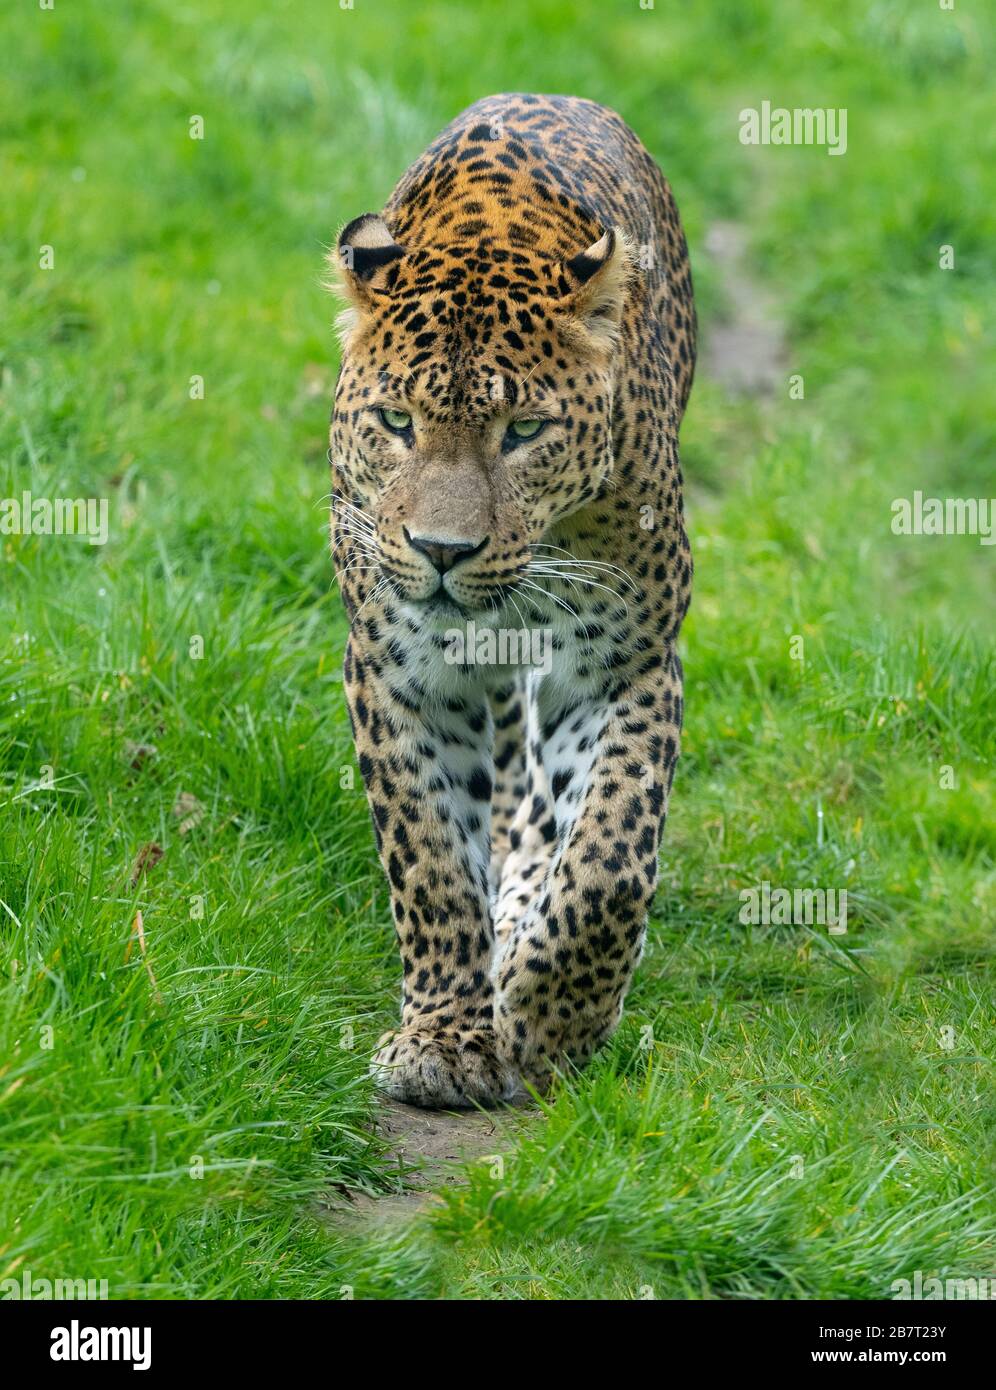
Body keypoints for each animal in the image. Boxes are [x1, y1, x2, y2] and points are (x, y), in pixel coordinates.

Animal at [327, 92, 695, 1108]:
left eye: (524, 430)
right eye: (397, 422)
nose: (442, 553)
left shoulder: (626, 664)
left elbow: (610, 855)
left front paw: (556, 1017)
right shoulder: (395, 671)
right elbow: (430, 861)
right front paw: (446, 1037)